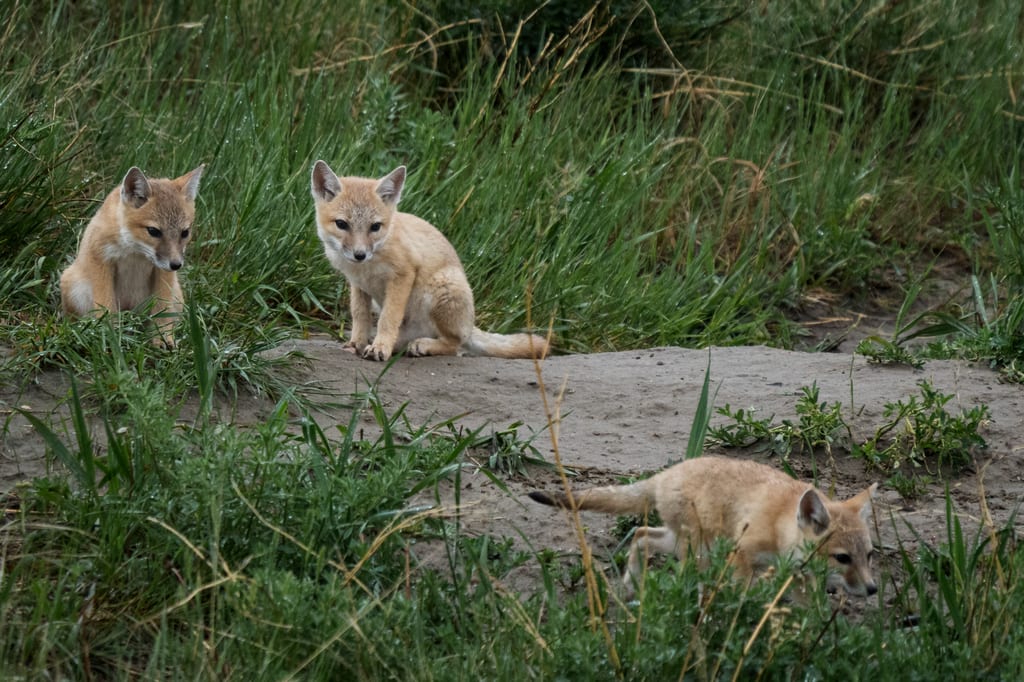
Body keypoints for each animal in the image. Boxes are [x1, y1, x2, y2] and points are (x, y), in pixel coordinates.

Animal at [59, 165, 205, 347]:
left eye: (185, 233)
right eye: (153, 231)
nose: (176, 265)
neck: (135, 252)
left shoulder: (162, 272)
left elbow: (162, 308)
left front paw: (162, 338)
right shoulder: (101, 260)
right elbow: (106, 306)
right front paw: (111, 336)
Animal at [310, 160, 549, 361]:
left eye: (375, 227)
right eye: (342, 224)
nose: (359, 255)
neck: (368, 266)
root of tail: (470, 325)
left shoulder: (403, 274)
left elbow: (388, 318)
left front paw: (380, 347)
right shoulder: (358, 285)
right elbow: (360, 316)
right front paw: (357, 343)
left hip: (442, 288)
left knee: (456, 345)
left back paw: (422, 345)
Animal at [529, 455, 878, 599]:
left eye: (870, 556)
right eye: (843, 558)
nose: (873, 589)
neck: (780, 523)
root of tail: (665, 474)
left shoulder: (797, 576)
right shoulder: (741, 554)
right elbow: (743, 590)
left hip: (679, 542)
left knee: (641, 535)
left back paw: (632, 584)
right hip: (698, 552)